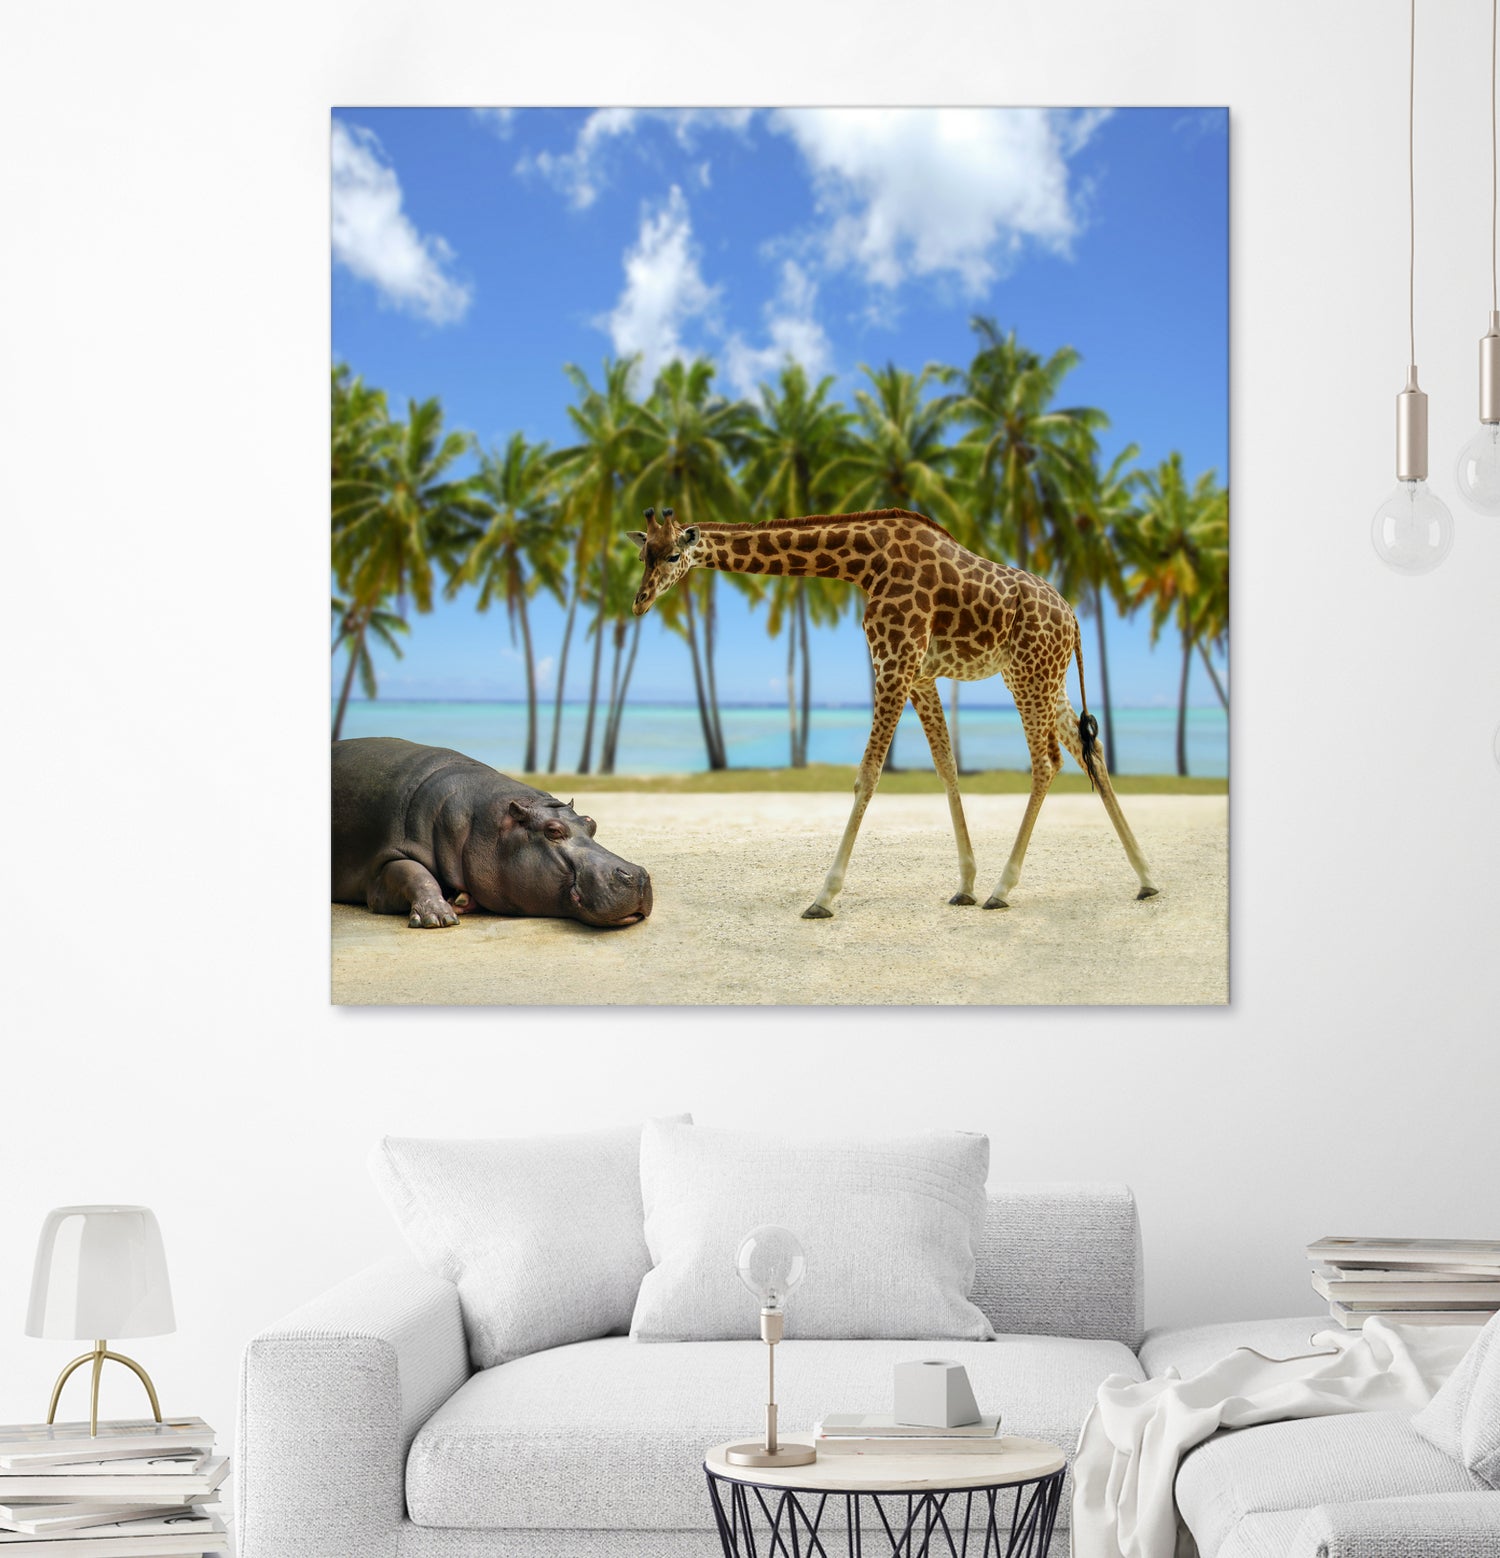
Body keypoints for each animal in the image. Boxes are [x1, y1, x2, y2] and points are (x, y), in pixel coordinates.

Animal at [332, 737, 652, 929]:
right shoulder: (383, 860)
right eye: (553, 831)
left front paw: (460, 902)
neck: (481, 823)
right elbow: (413, 873)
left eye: (591, 822)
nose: (637, 875)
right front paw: (439, 916)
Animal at [627, 505, 1158, 919]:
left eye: (673, 555)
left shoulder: (895, 662)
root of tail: (1074, 618)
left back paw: (1003, 890)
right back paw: (1147, 878)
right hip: (1041, 676)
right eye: (641, 555)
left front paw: (823, 896)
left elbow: (868, 774)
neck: (864, 563)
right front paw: (964, 883)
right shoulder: (919, 673)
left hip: (1031, 673)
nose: (640, 601)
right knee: (1091, 749)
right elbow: (946, 766)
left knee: (1048, 761)